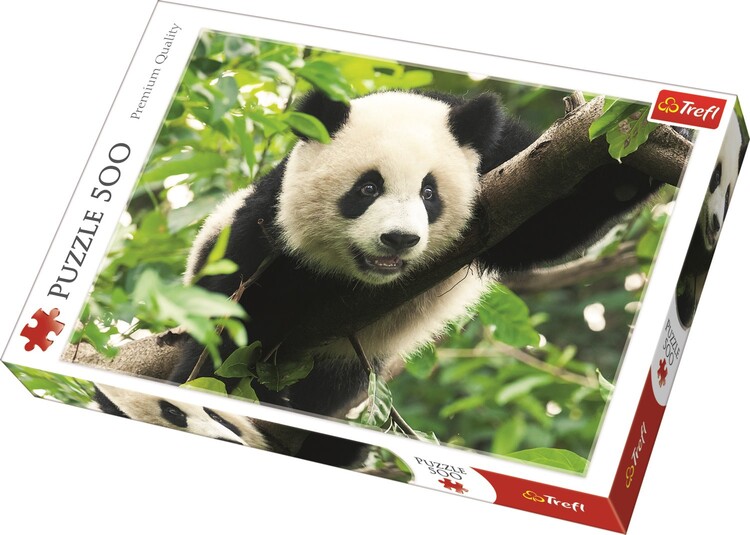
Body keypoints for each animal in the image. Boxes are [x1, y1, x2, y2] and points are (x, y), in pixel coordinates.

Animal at [169, 89, 660, 426]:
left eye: (429, 192)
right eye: (367, 188)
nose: (399, 239)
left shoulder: (500, 161)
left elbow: (545, 225)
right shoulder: (268, 233)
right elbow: (234, 324)